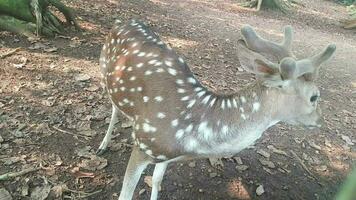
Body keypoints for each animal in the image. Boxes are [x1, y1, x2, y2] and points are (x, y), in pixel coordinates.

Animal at [97, 19, 336, 200]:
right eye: (314, 96)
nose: (320, 120)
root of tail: (123, 21)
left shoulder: (164, 156)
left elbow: (156, 181)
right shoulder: (143, 145)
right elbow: (125, 195)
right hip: (104, 71)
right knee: (114, 108)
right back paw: (102, 146)